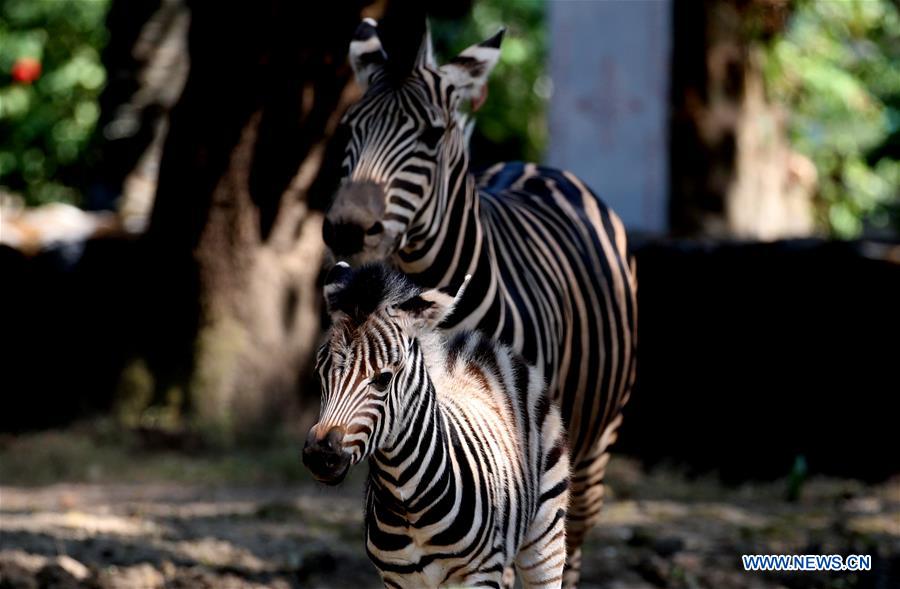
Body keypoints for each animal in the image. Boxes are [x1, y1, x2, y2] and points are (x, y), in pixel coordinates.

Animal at [302, 262, 568, 588]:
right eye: (320, 373)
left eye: (383, 379)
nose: (320, 455)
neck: (408, 503)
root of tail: (482, 346)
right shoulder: (396, 579)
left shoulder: (481, 575)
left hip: (545, 540)